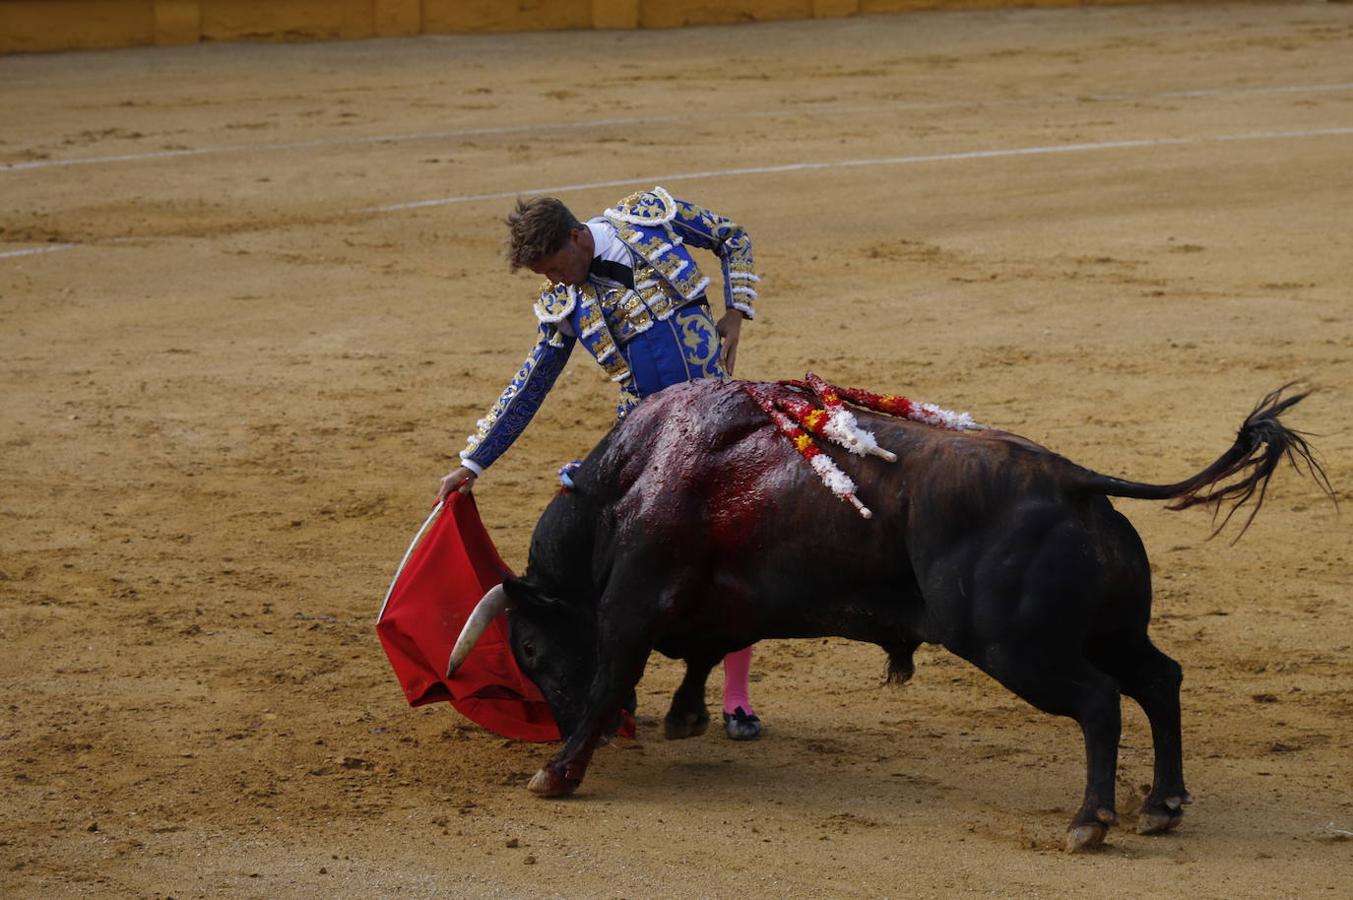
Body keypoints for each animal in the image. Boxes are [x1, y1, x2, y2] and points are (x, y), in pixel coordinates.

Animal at [446, 376, 1331, 849]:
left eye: (530, 649)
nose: (561, 731)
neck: (629, 483)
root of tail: (1073, 480)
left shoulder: (630, 604)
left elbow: (608, 680)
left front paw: (557, 773)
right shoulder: (712, 607)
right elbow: (702, 652)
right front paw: (685, 716)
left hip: (1013, 646)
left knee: (1099, 702)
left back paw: (1089, 821)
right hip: (1111, 627)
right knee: (1159, 680)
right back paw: (1161, 805)